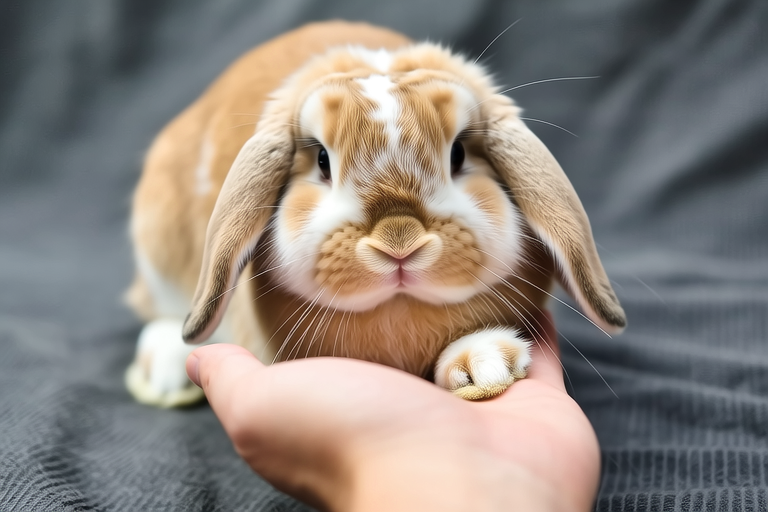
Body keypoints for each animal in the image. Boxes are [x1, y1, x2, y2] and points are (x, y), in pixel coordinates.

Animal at [124, 20, 626, 408]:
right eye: (322, 160)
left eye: (459, 154)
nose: (398, 240)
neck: (397, 313)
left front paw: (485, 363)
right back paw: (165, 368)